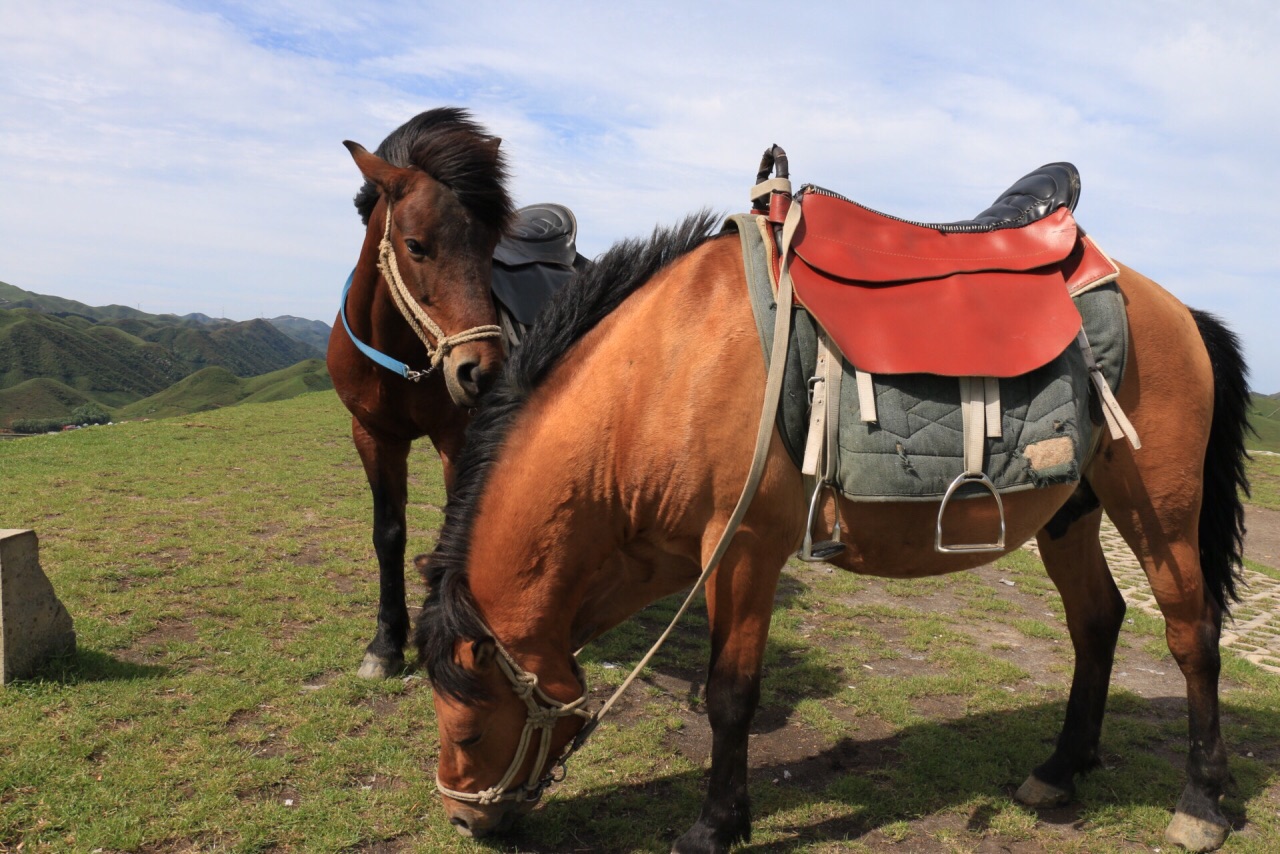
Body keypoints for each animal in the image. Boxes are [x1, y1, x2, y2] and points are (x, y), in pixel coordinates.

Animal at [327, 108, 517, 681]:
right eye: (415, 245)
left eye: (491, 247)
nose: (482, 371)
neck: (400, 357)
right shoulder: (372, 435)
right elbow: (388, 534)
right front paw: (387, 641)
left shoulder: (455, 435)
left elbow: (457, 519)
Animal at [414, 181, 1244, 850]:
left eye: (469, 724)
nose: (464, 818)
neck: (665, 373)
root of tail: (1174, 308)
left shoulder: (743, 549)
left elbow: (730, 695)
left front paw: (715, 826)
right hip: (1071, 513)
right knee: (1097, 619)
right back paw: (1062, 769)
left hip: (1160, 511)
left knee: (1192, 634)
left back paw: (1201, 802)